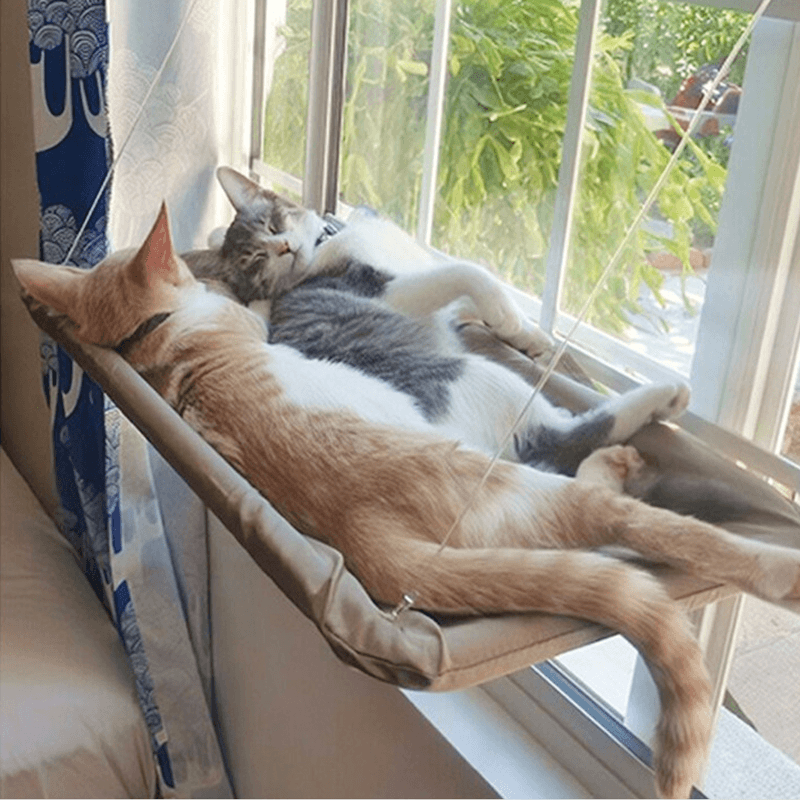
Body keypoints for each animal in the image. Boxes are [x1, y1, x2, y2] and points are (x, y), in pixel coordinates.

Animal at [15, 205, 800, 792]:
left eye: (272, 222)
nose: (290, 239)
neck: (155, 338)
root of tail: (371, 548)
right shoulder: (359, 297)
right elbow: (472, 280)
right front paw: (522, 326)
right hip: (497, 414)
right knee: (592, 472)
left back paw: (620, 457)